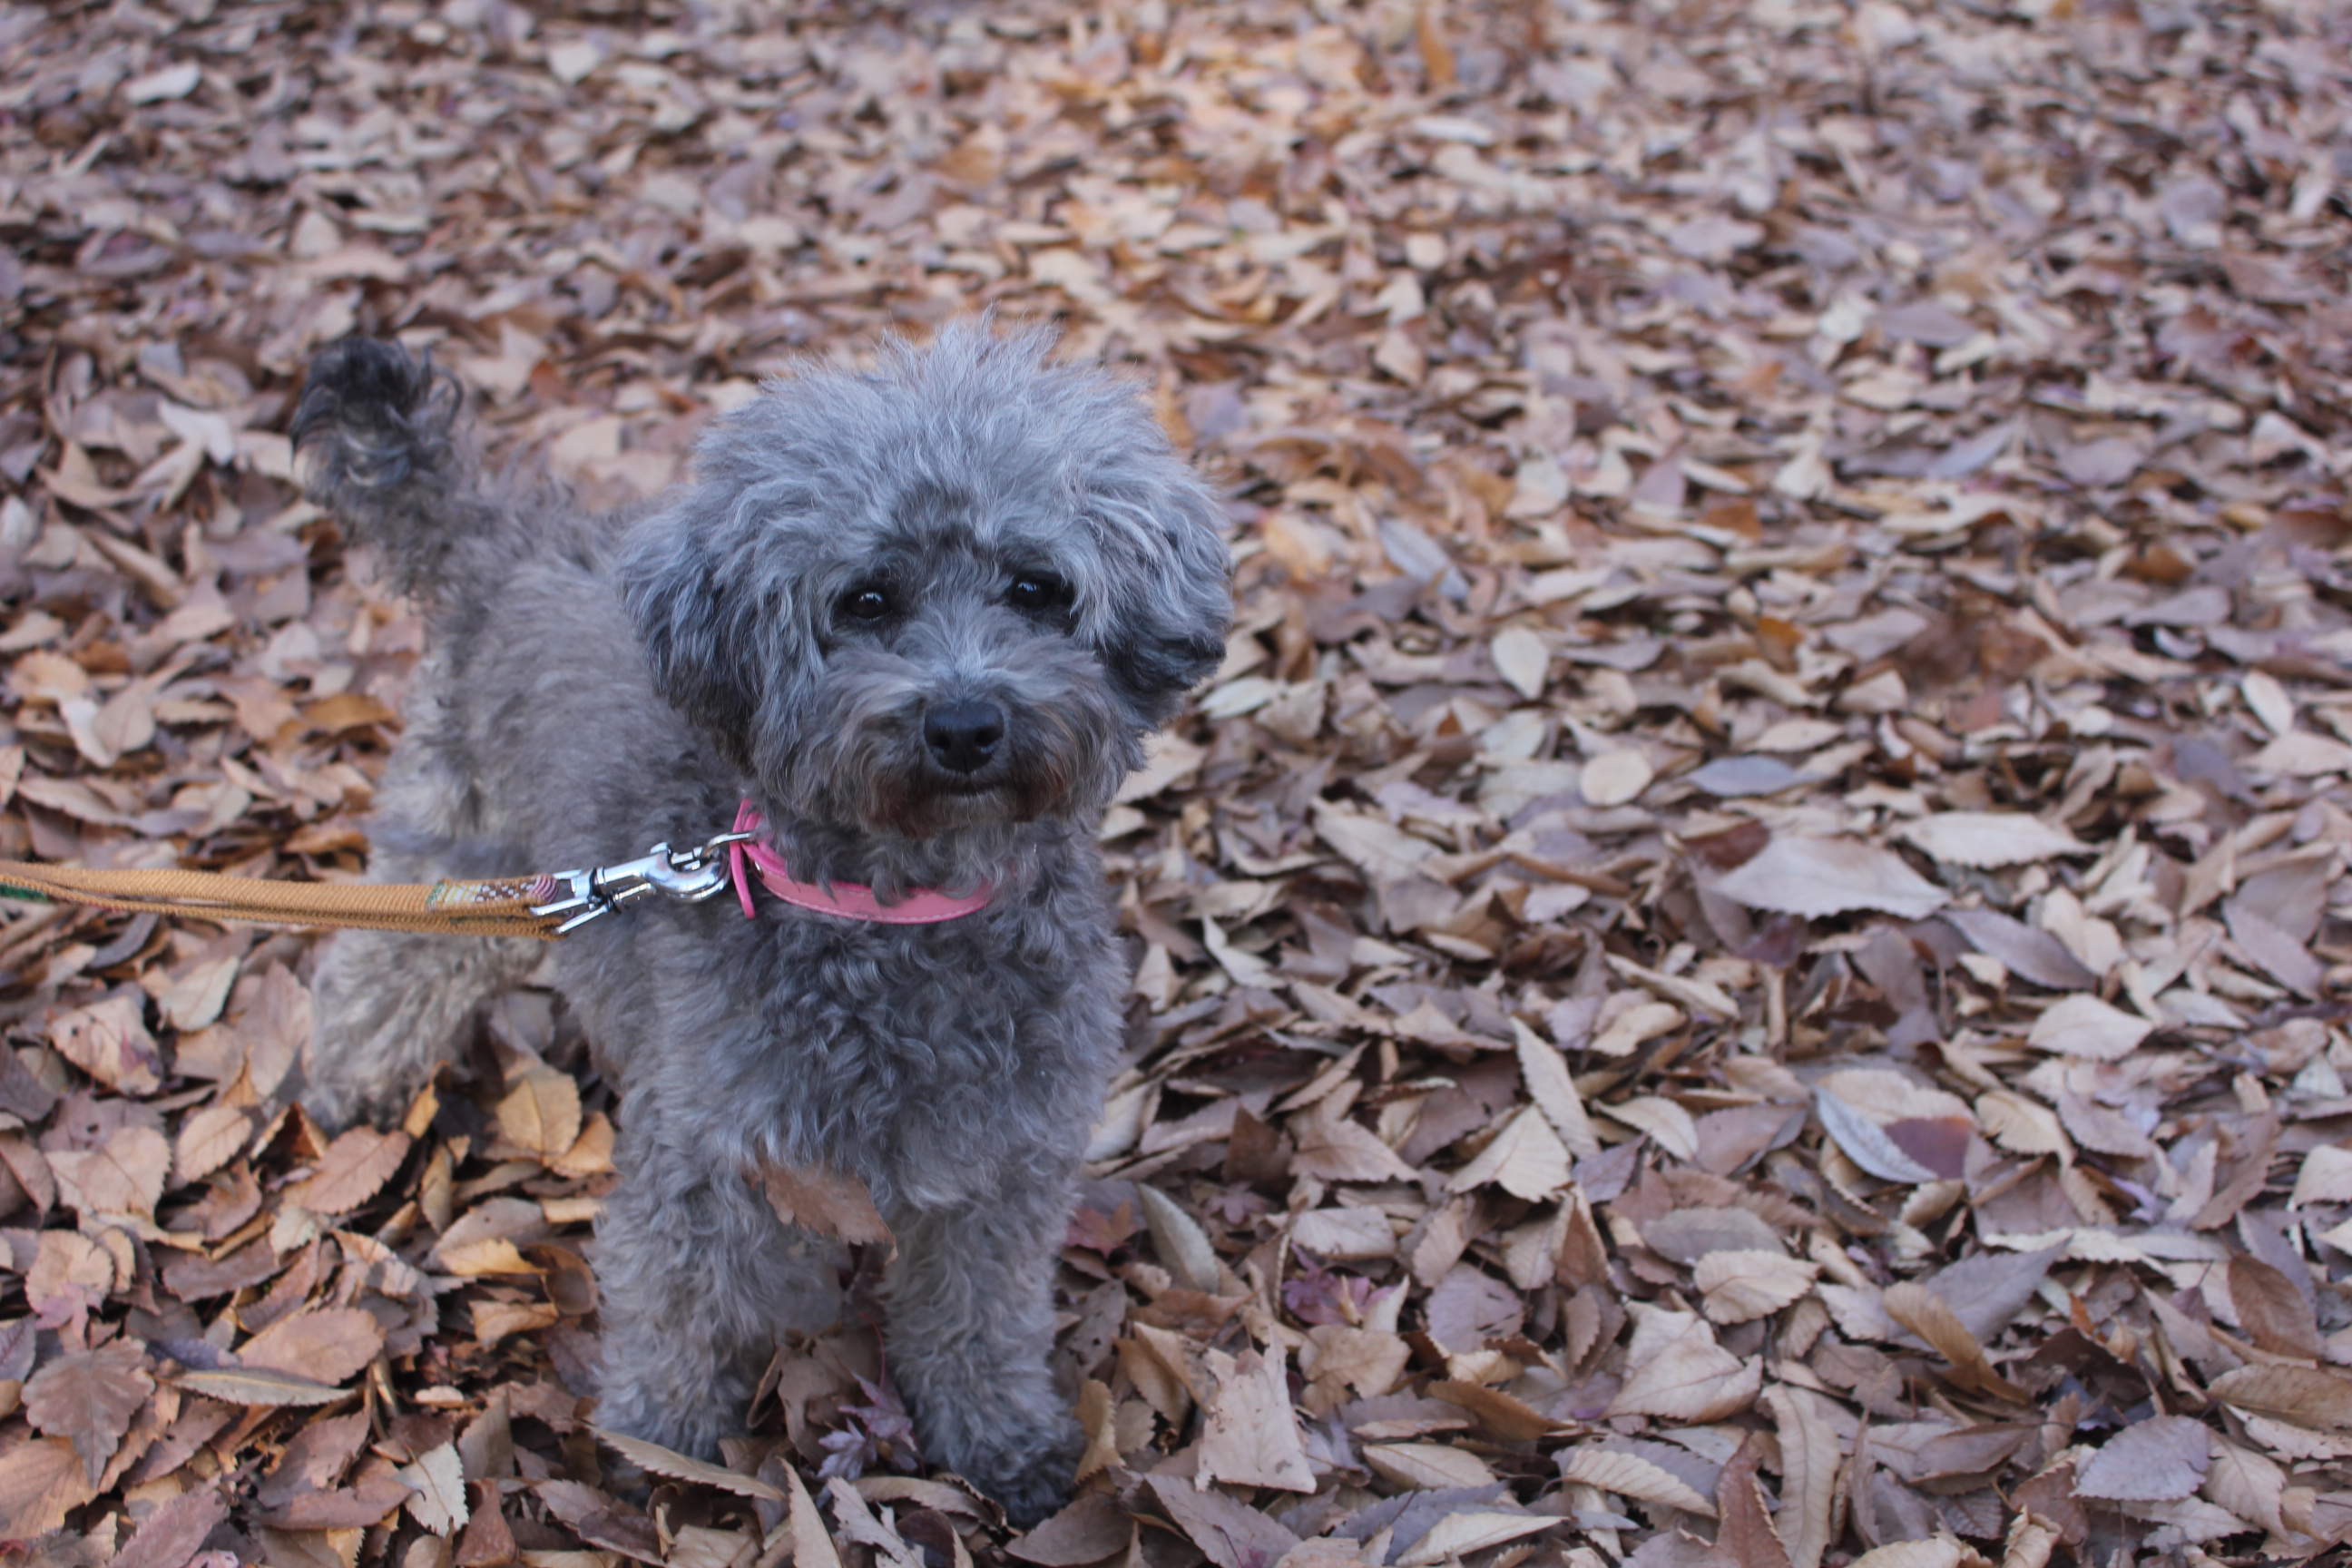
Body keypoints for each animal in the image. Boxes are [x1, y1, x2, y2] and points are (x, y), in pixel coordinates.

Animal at [291, 323, 1232, 1524]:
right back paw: (350, 1087)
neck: (900, 912)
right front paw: (658, 1448)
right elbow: (681, 1309)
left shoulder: (1003, 1164)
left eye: (1038, 588)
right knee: (379, 968)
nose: (965, 723)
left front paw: (1001, 1437)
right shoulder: (712, 1152)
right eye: (867, 601)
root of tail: (502, 539)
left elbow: (980, 1317)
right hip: (458, 852)